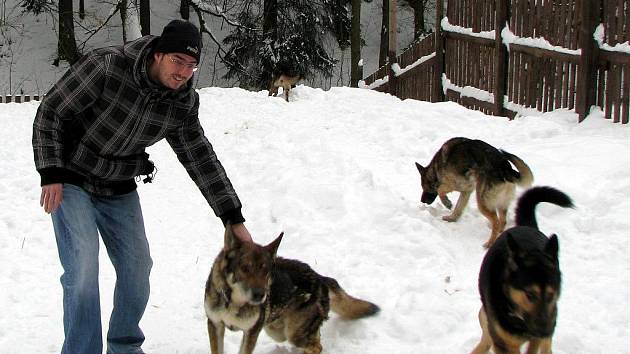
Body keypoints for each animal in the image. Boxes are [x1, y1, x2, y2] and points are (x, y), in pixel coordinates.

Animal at [205, 225, 380, 352]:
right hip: (276, 330)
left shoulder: (251, 332)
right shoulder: (215, 325)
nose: (260, 295)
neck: (232, 302)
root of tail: (321, 278)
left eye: (266, 271)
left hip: (293, 334)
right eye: (245, 268)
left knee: (316, 346)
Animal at [474, 187, 572, 352]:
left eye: (551, 294)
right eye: (530, 294)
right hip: (484, 315)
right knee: (486, 339)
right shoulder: (502, 342)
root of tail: (528, 227)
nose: (545, 331)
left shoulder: (539, 334)